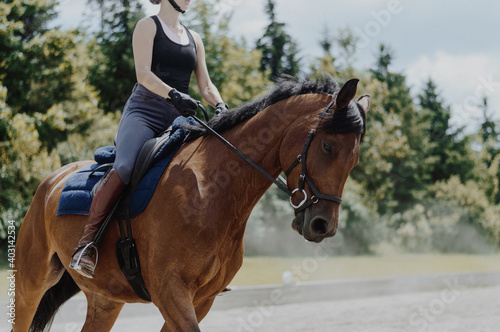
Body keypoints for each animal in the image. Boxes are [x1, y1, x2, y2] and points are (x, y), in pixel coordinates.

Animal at [14, 75, 368, 332]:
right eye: (327, 146)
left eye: (354, 160)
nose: (323, 225)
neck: (214, 189)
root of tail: (52, 180)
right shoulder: (171, 292)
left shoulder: (202, 299)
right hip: (30, 284)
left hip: (105, 299)